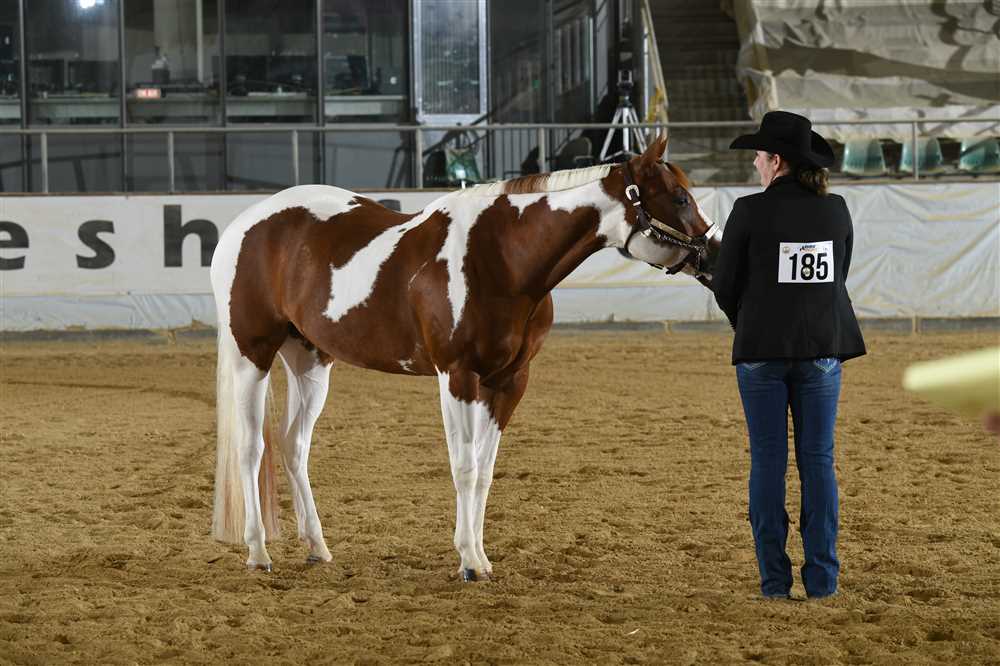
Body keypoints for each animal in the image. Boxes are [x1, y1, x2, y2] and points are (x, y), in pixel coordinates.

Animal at [209, 135, 721, 580]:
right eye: (679, 198)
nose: (714, 255)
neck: (503, 260)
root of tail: (243, 225)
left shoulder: (509, 380)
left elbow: (486, 470)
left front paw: (479, 555)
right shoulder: (457, 375)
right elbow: (464, 466)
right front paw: (469, 561)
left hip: (310, 360)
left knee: (294, 444)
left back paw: (317, 547)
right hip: (252, 355)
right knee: (251, 448)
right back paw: (257, 551)